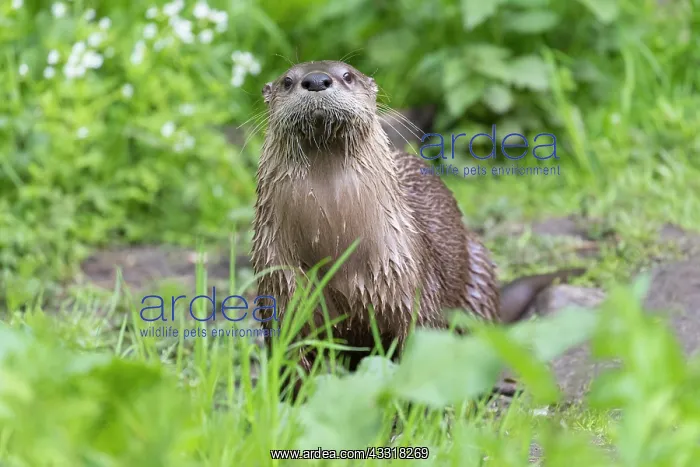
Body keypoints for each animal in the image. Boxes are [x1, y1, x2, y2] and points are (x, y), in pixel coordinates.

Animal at [251, 60, 583, 382]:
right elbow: (290, 363)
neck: (335, 249)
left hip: (478, 278)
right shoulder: (282, 290)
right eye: (287, 80)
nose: (317, 79)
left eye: (347, 75)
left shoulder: (412, 288)